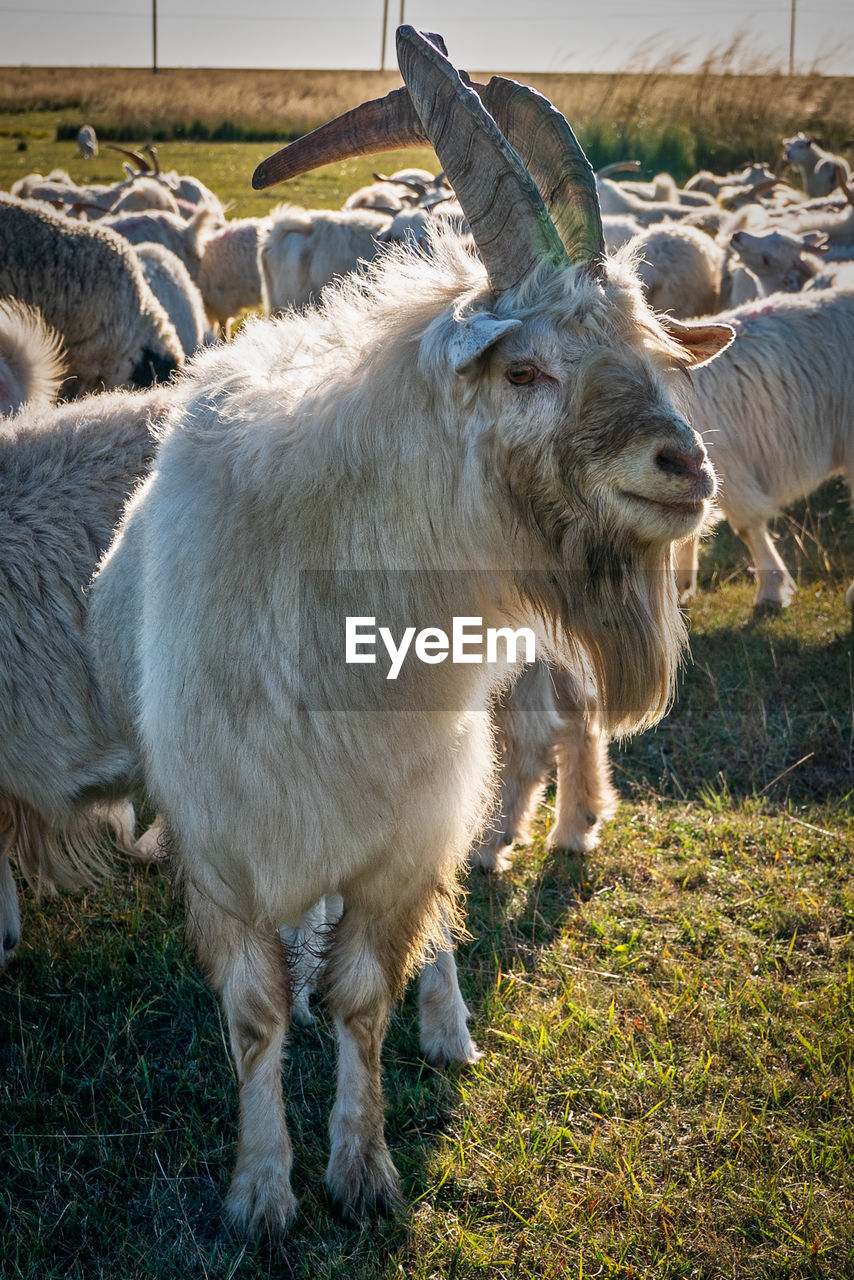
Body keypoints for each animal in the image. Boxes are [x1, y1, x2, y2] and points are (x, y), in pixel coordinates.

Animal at [88, 27, 737, 1239]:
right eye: (525, 367)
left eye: (651, 357)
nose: (686, 469)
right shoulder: (225, 846)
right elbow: (256, 1016)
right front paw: (261, 1189)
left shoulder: (401, 839)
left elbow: (363, 997)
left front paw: (361, 1164)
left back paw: (447, 1025)